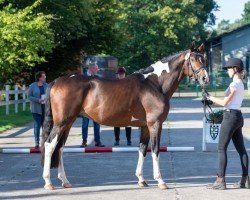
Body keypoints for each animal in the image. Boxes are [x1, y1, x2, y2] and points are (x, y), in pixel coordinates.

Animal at [41, 42, 209, 191]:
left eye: (204, 59)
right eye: (193, 59)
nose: (205, 78)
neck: (155, 84)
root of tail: (57, 81)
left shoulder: (145, 127)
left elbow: (142, 149)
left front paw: (141, 180)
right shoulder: (155, 124)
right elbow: (155, 150)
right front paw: (160, 181)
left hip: (68, 123)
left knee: (60, 148)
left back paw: (65, 181)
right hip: (61, 123)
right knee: (50, 145)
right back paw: (48, 183)